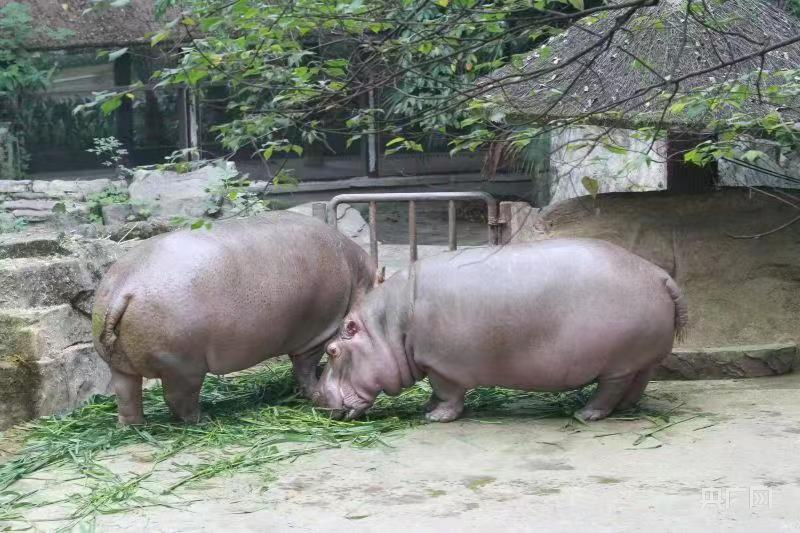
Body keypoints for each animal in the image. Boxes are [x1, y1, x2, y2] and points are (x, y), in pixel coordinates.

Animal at [92, 211, 380, 424]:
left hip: (119, 365)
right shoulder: (317, 335)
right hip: (184, 368)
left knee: (127, 397)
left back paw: (134, 427)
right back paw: (204, 420)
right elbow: (304, 369)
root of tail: (123, 288)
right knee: (177, 399)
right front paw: (310, 392)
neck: (360, 277)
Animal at [312, 239, 688, 422]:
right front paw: (426, 409)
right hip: (642, 358)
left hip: (617, 363)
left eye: (332, 350)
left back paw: (587, 414)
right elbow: (438, 392)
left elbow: (447, 393)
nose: (315, 397)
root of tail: (660, 275)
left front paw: (436, 417)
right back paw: (623, 409)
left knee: (610, 388)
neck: (388, 327)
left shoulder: (442, 365)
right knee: (637, 383)